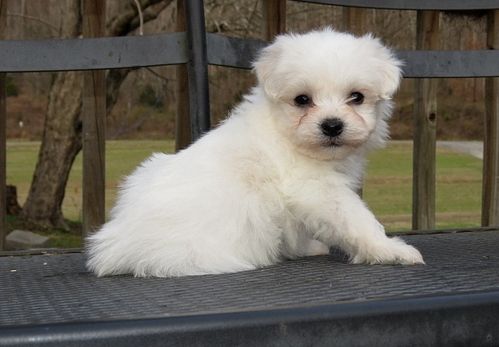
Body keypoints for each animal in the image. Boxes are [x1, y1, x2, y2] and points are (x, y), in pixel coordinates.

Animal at [87, 28, 426, 278]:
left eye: (356, 97)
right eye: (302, 100)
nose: (332, 125)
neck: (285, 134)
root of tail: (117, 242)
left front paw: (308, 247)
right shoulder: (319, 190)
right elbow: (358, 220)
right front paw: (389, 249)